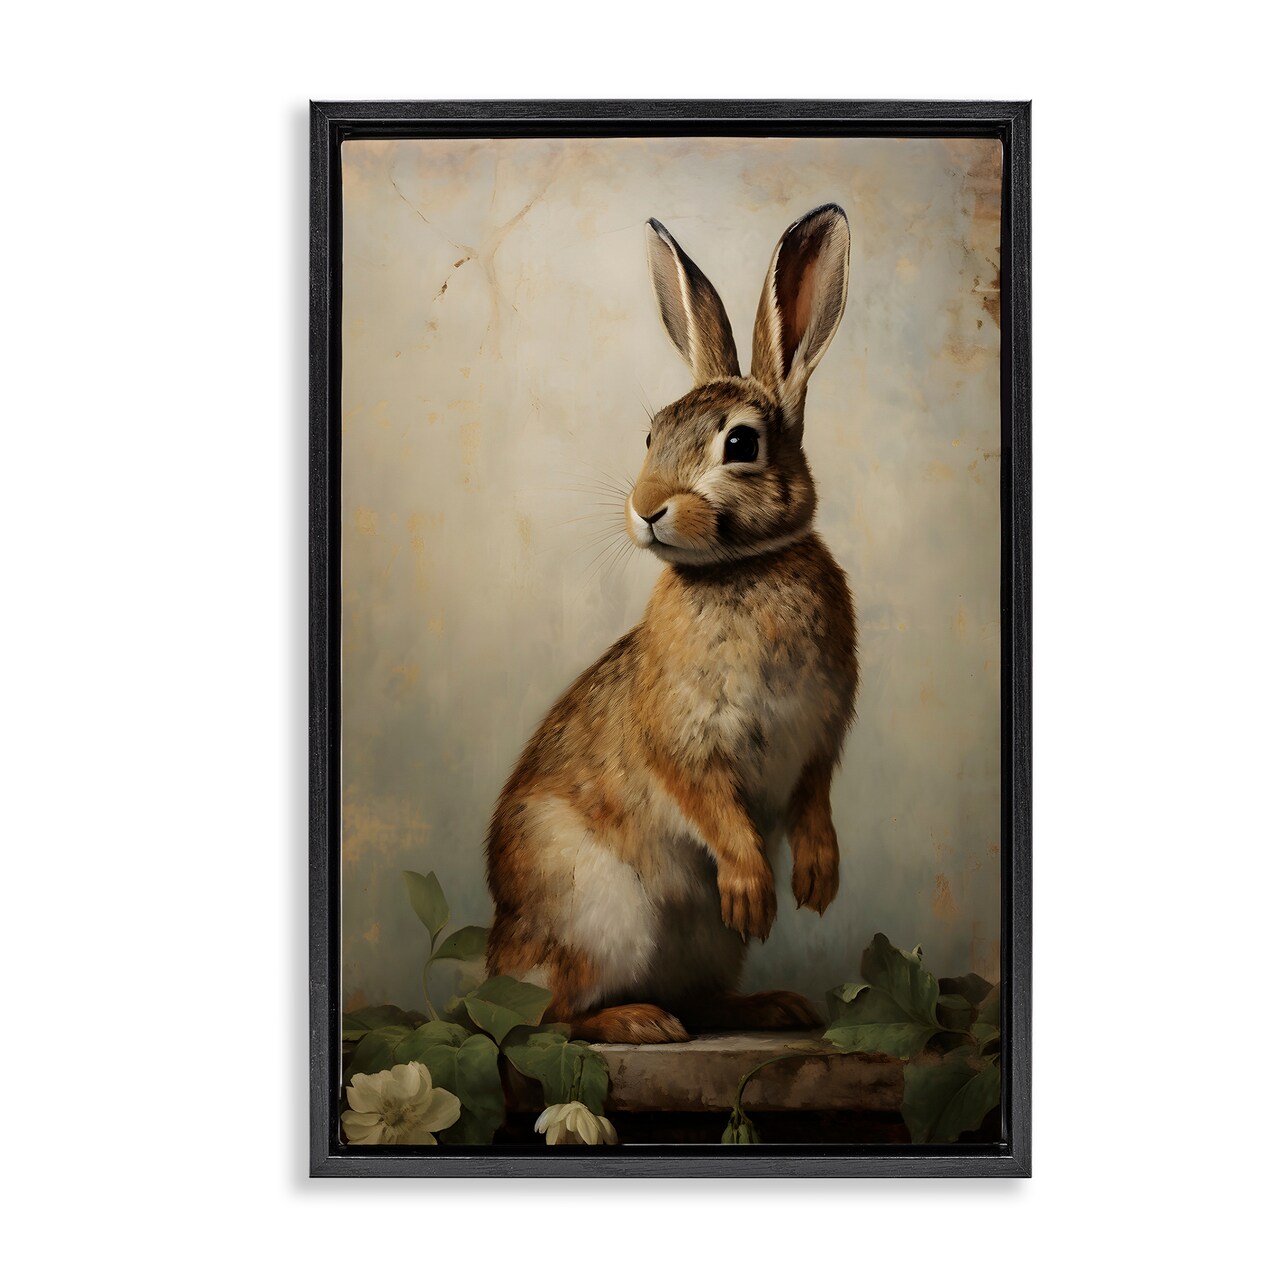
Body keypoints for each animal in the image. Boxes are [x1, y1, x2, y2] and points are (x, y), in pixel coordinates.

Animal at [486, 204, 858, 1044]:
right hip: (598, 916)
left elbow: (815, 798)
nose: (647, 506)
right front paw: (755, 889)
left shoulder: (821, 734)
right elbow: (712, 807)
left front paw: (817, 880)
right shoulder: (687, 739)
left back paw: (771, 1006)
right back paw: (637, 1022)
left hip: (702, 947)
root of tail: (497, 961)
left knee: (696, 999)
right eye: (651, 435)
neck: (740, 568)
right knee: (553, 1017)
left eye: (741, 444)